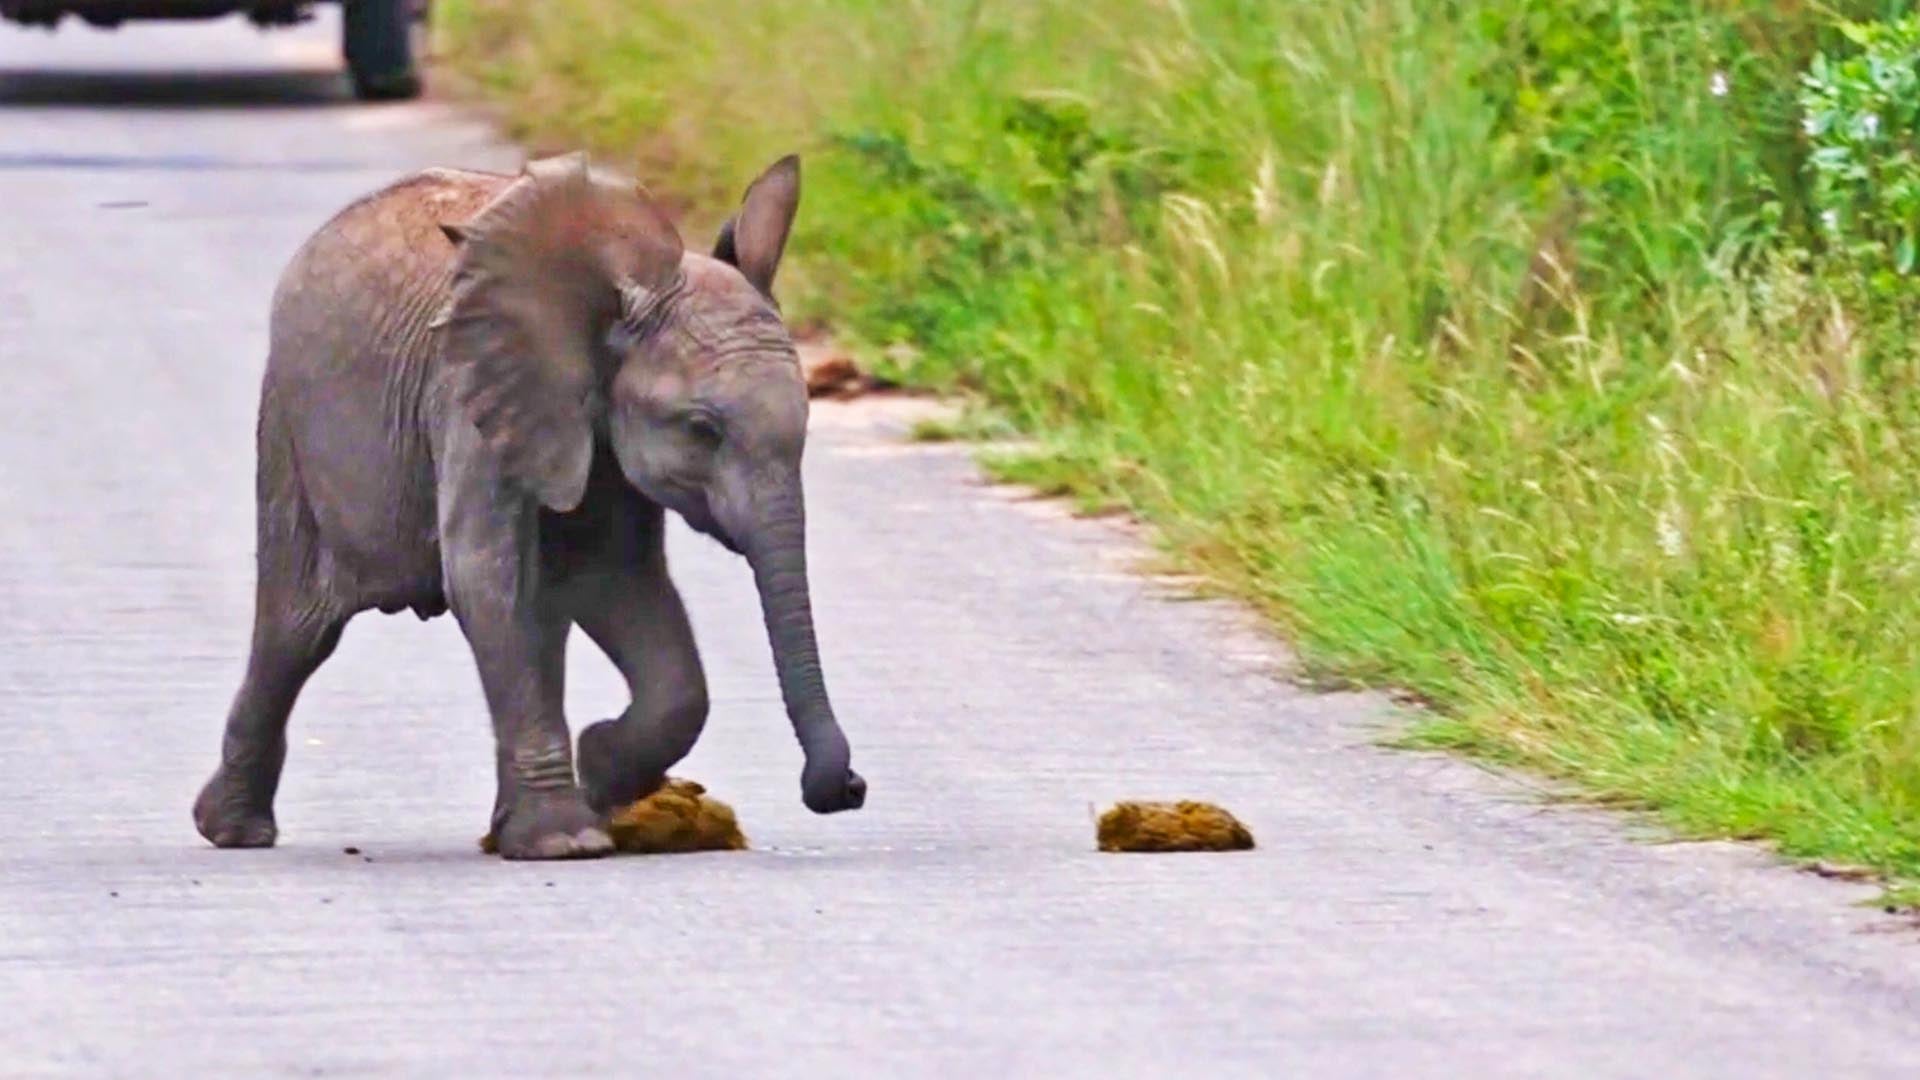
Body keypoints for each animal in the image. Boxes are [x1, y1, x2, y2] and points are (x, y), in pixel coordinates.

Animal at [192, 151, 866, 860]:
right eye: (702, 429)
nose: (849, 787)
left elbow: (616, 583)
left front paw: (598, 773)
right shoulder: (470, 397)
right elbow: (487, 579)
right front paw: (570, 836)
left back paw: (503, 830)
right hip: (289, 427)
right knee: (298, 628)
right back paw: (234, 832)